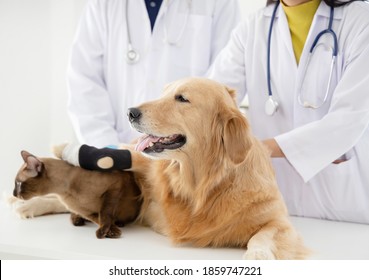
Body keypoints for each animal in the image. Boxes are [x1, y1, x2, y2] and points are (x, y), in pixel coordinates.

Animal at [12, 151, 141, 238]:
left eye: (18, 183)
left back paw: (120, 223)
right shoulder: (86, 212)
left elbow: (105, 214)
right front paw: (110, 232)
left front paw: (106, 232)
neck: (64, 190)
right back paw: (78, 221)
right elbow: (99, 219)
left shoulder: (115, 186)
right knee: (73, 215)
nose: (13, 194)